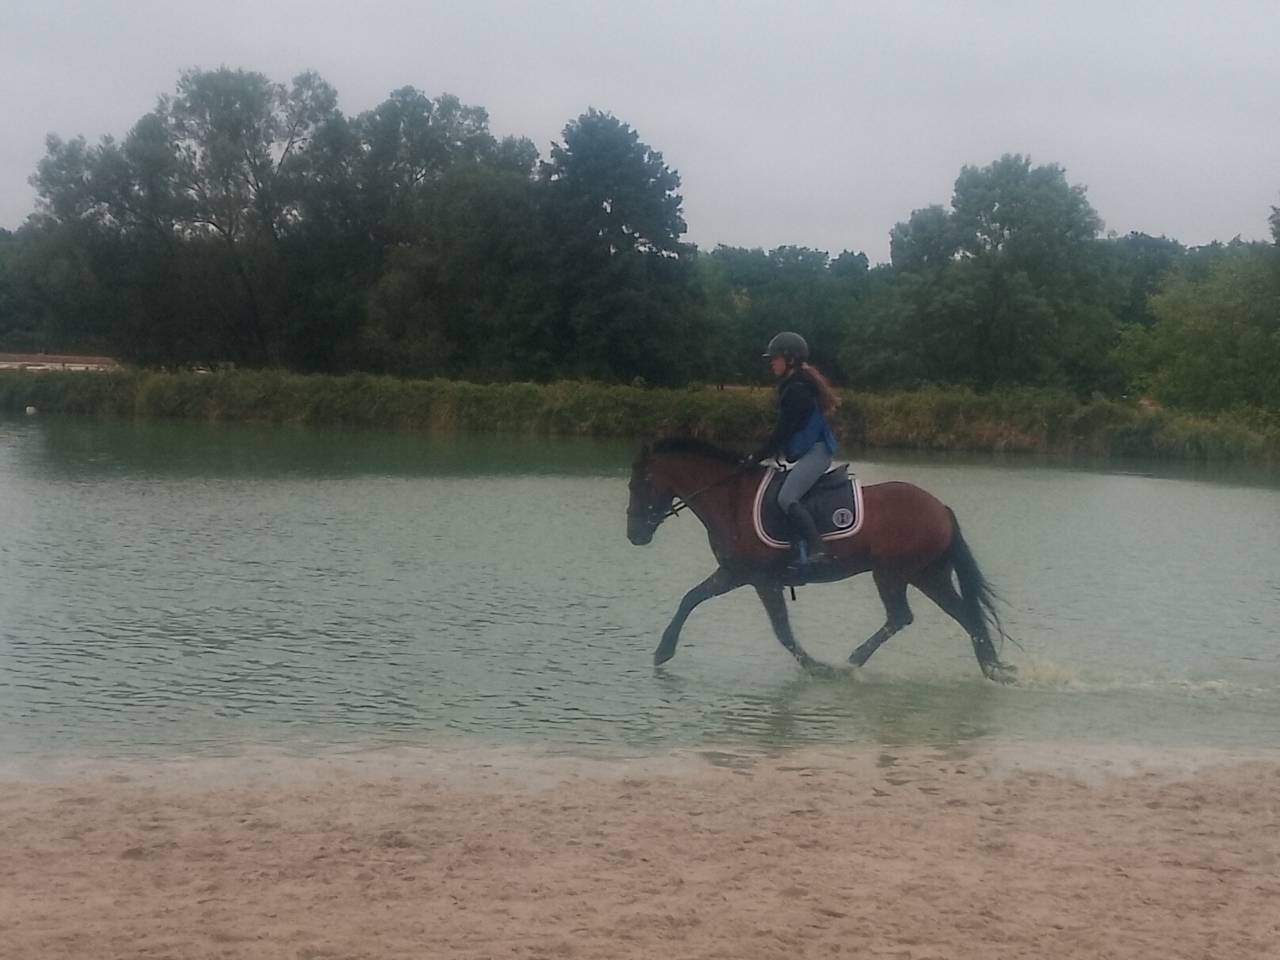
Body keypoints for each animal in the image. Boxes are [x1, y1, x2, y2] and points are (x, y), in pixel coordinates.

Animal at [626, 437, 1017, 682]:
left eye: (638, 485)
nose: (634, 535)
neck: (730, 499)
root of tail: (940, 508)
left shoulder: (762, 580)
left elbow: (783, 632)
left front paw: (818, 668)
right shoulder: (733, 574)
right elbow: (690, 598)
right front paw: (663, 651)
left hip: (891, 573)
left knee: (901, 617)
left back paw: (850, 663)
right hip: (928, 575)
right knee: (965, 616)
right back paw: (992, 670)